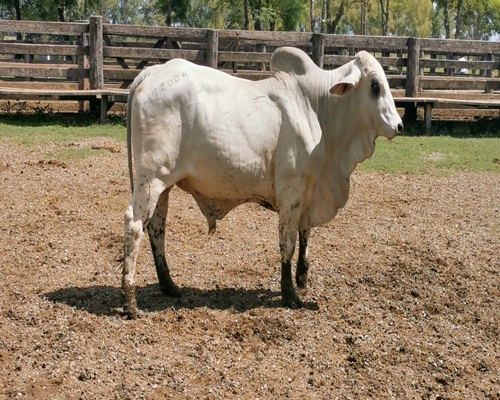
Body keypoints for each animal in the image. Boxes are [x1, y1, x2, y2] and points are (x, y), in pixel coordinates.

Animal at [123, 45, 404, 318]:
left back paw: (169, 285)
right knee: (134, 225)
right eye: (375, 86)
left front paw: (302, 277)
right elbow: (287, 242)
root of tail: (150, 73)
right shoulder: (291, 190)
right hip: (150, 180)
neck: (317, 107)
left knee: (156, 228)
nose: (399, 125)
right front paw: (290, 295)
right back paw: (130, 302)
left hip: (164, 184)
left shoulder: (309, 192)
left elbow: (304, 234)